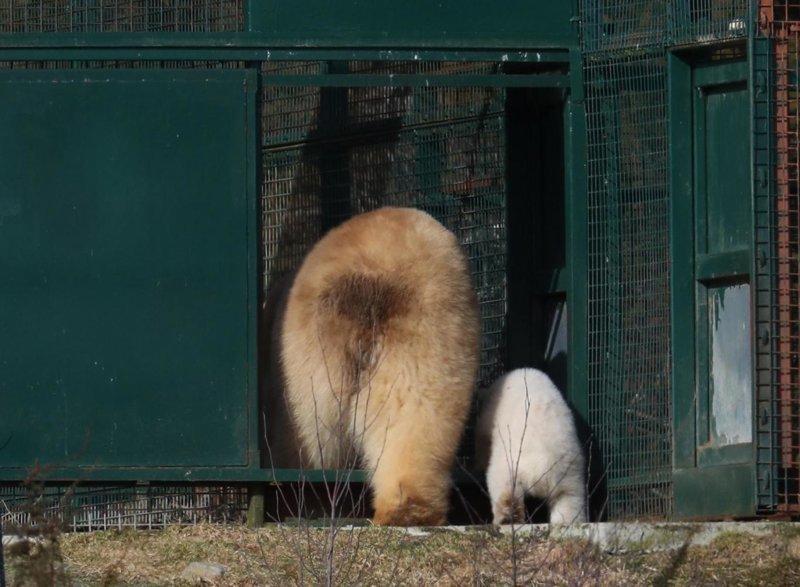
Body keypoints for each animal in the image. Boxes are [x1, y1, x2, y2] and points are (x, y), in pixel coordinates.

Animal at [476, 370, 588, 524]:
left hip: (512, 462)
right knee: (568, 499)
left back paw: (507, 518)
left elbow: (482, 441)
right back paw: (566, 522)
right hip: (569, 472)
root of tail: (540, 469)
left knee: (504, 487)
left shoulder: (489, 416)